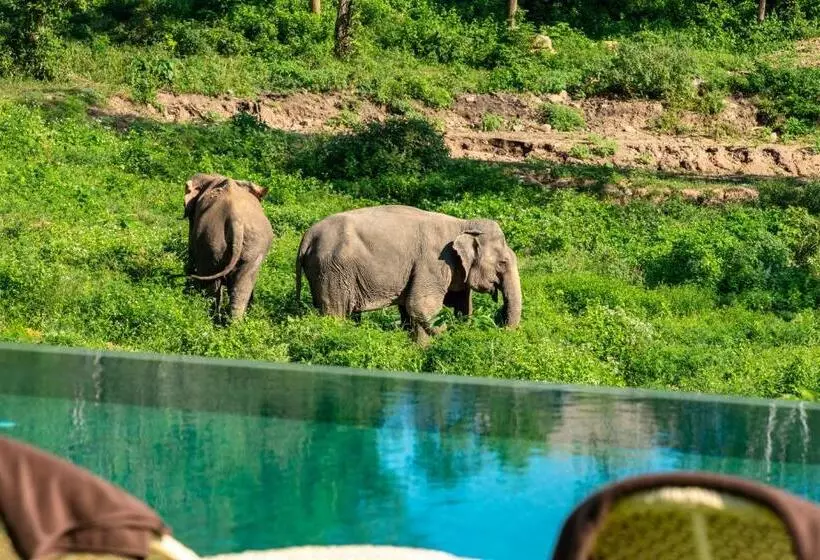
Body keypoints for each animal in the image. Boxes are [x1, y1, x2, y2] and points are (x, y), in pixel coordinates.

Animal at [183, 173, 274, 321]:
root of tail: (236, 221)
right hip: (254, 246)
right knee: (243, 285)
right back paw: (233, 322)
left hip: (210, 240)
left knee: (212, 284)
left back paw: (211, 317)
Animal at [295, 205, 521, 344]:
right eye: (502, 263)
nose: (499, 319)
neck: (463, 223)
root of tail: (307, 236)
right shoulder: (434, 263)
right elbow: (420, 305)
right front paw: (434, 341)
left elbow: (460, 305)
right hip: (332, 270)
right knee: (336, 312)